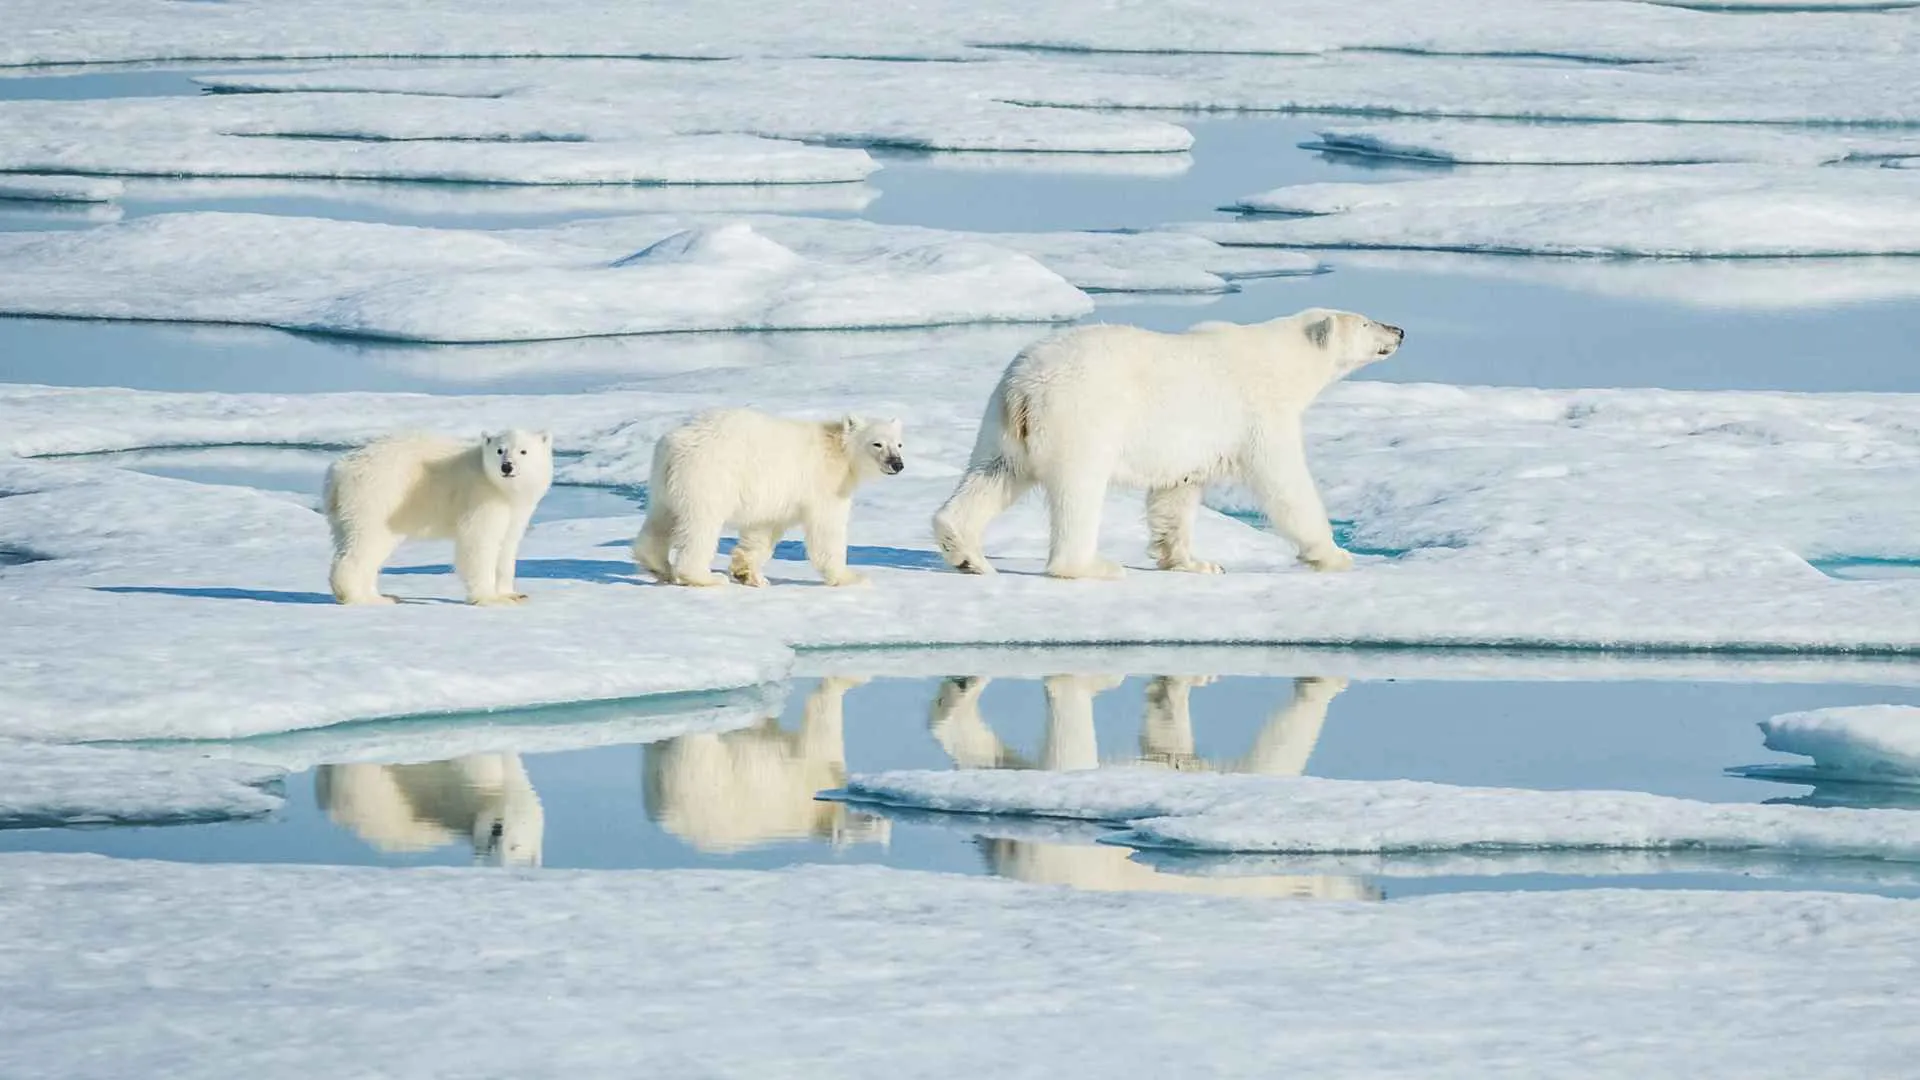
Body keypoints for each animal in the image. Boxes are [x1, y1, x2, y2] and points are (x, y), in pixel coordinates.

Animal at [324, 430, 553, 606]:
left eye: (523, 451)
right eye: (500, 450)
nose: (507, 466)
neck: (501, 488)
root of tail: (338, 471)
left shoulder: (516, 510)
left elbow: (507, 546)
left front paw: (512, 594)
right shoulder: (481, 497)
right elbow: (479, 543)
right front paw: (489, 599)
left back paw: (382, 596)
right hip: (377, 496)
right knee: (366, 543)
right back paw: (360, 597)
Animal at [633, 409, 904, 588]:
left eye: (899, 444)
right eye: (877, 444)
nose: (897, 464)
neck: (839, 450)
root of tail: (675, 444)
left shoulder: (776, 498)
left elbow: (762, 531)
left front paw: (749, 574)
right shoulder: (825, 485)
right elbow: (827, 530)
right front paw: (851, 576)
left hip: (665, 481)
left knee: (661, 518)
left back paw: (658, 565)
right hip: (709, 476)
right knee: (701, 526)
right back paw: (705, 577)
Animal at [932, 308, 1403, 580]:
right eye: (1366, 322)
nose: (1399, 330)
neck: (1281, 360)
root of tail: (1024, 386)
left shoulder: (1190, 445)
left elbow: (1176, 493)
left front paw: (1195, 562)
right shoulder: (1258, 413)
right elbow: (1284, 483)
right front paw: (1334, 554)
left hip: (1002, 424)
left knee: (993, 475)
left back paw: (967, 554)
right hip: (1081, 415)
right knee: (1079, 490)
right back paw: (1092, 566)